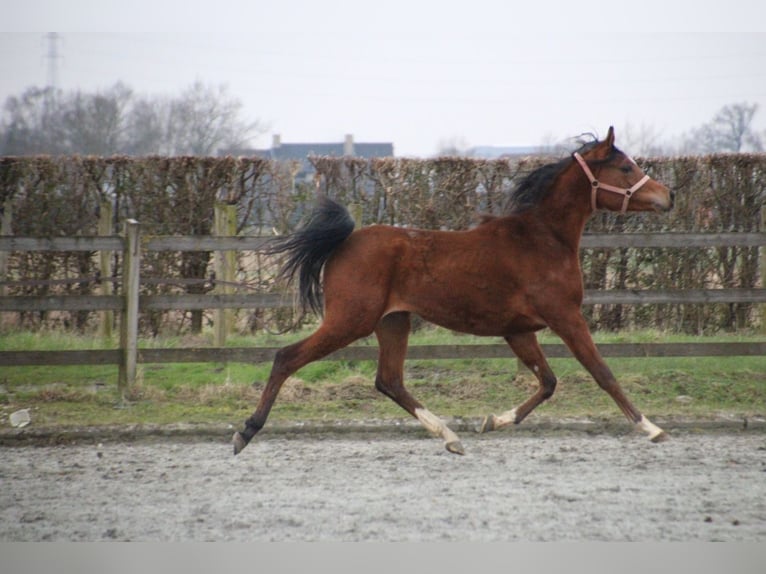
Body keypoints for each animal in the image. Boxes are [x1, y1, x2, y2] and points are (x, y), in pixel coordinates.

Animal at [233, 126, 674, 456]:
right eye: (625, 166)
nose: (668, 196)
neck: (542, 239)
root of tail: (345, 241)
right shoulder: (565, 316)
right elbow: (602, 372)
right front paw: (652, 428)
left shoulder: (519, 330)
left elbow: (547, 382)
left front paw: (492, 421)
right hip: (350, 320)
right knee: (287, 358)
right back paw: (245, 432)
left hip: (393, 322)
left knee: (389, 381)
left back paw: (450, 436)